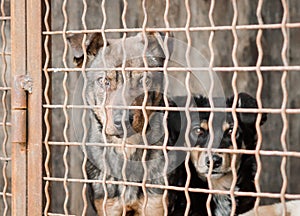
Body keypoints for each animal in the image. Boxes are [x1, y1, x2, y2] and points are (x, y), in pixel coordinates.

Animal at [69, 32, 184, 216]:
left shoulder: (155, 204)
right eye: (104, 81)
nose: (122, 121)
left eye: (144, 80)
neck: (128, 148)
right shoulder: (108, 206)